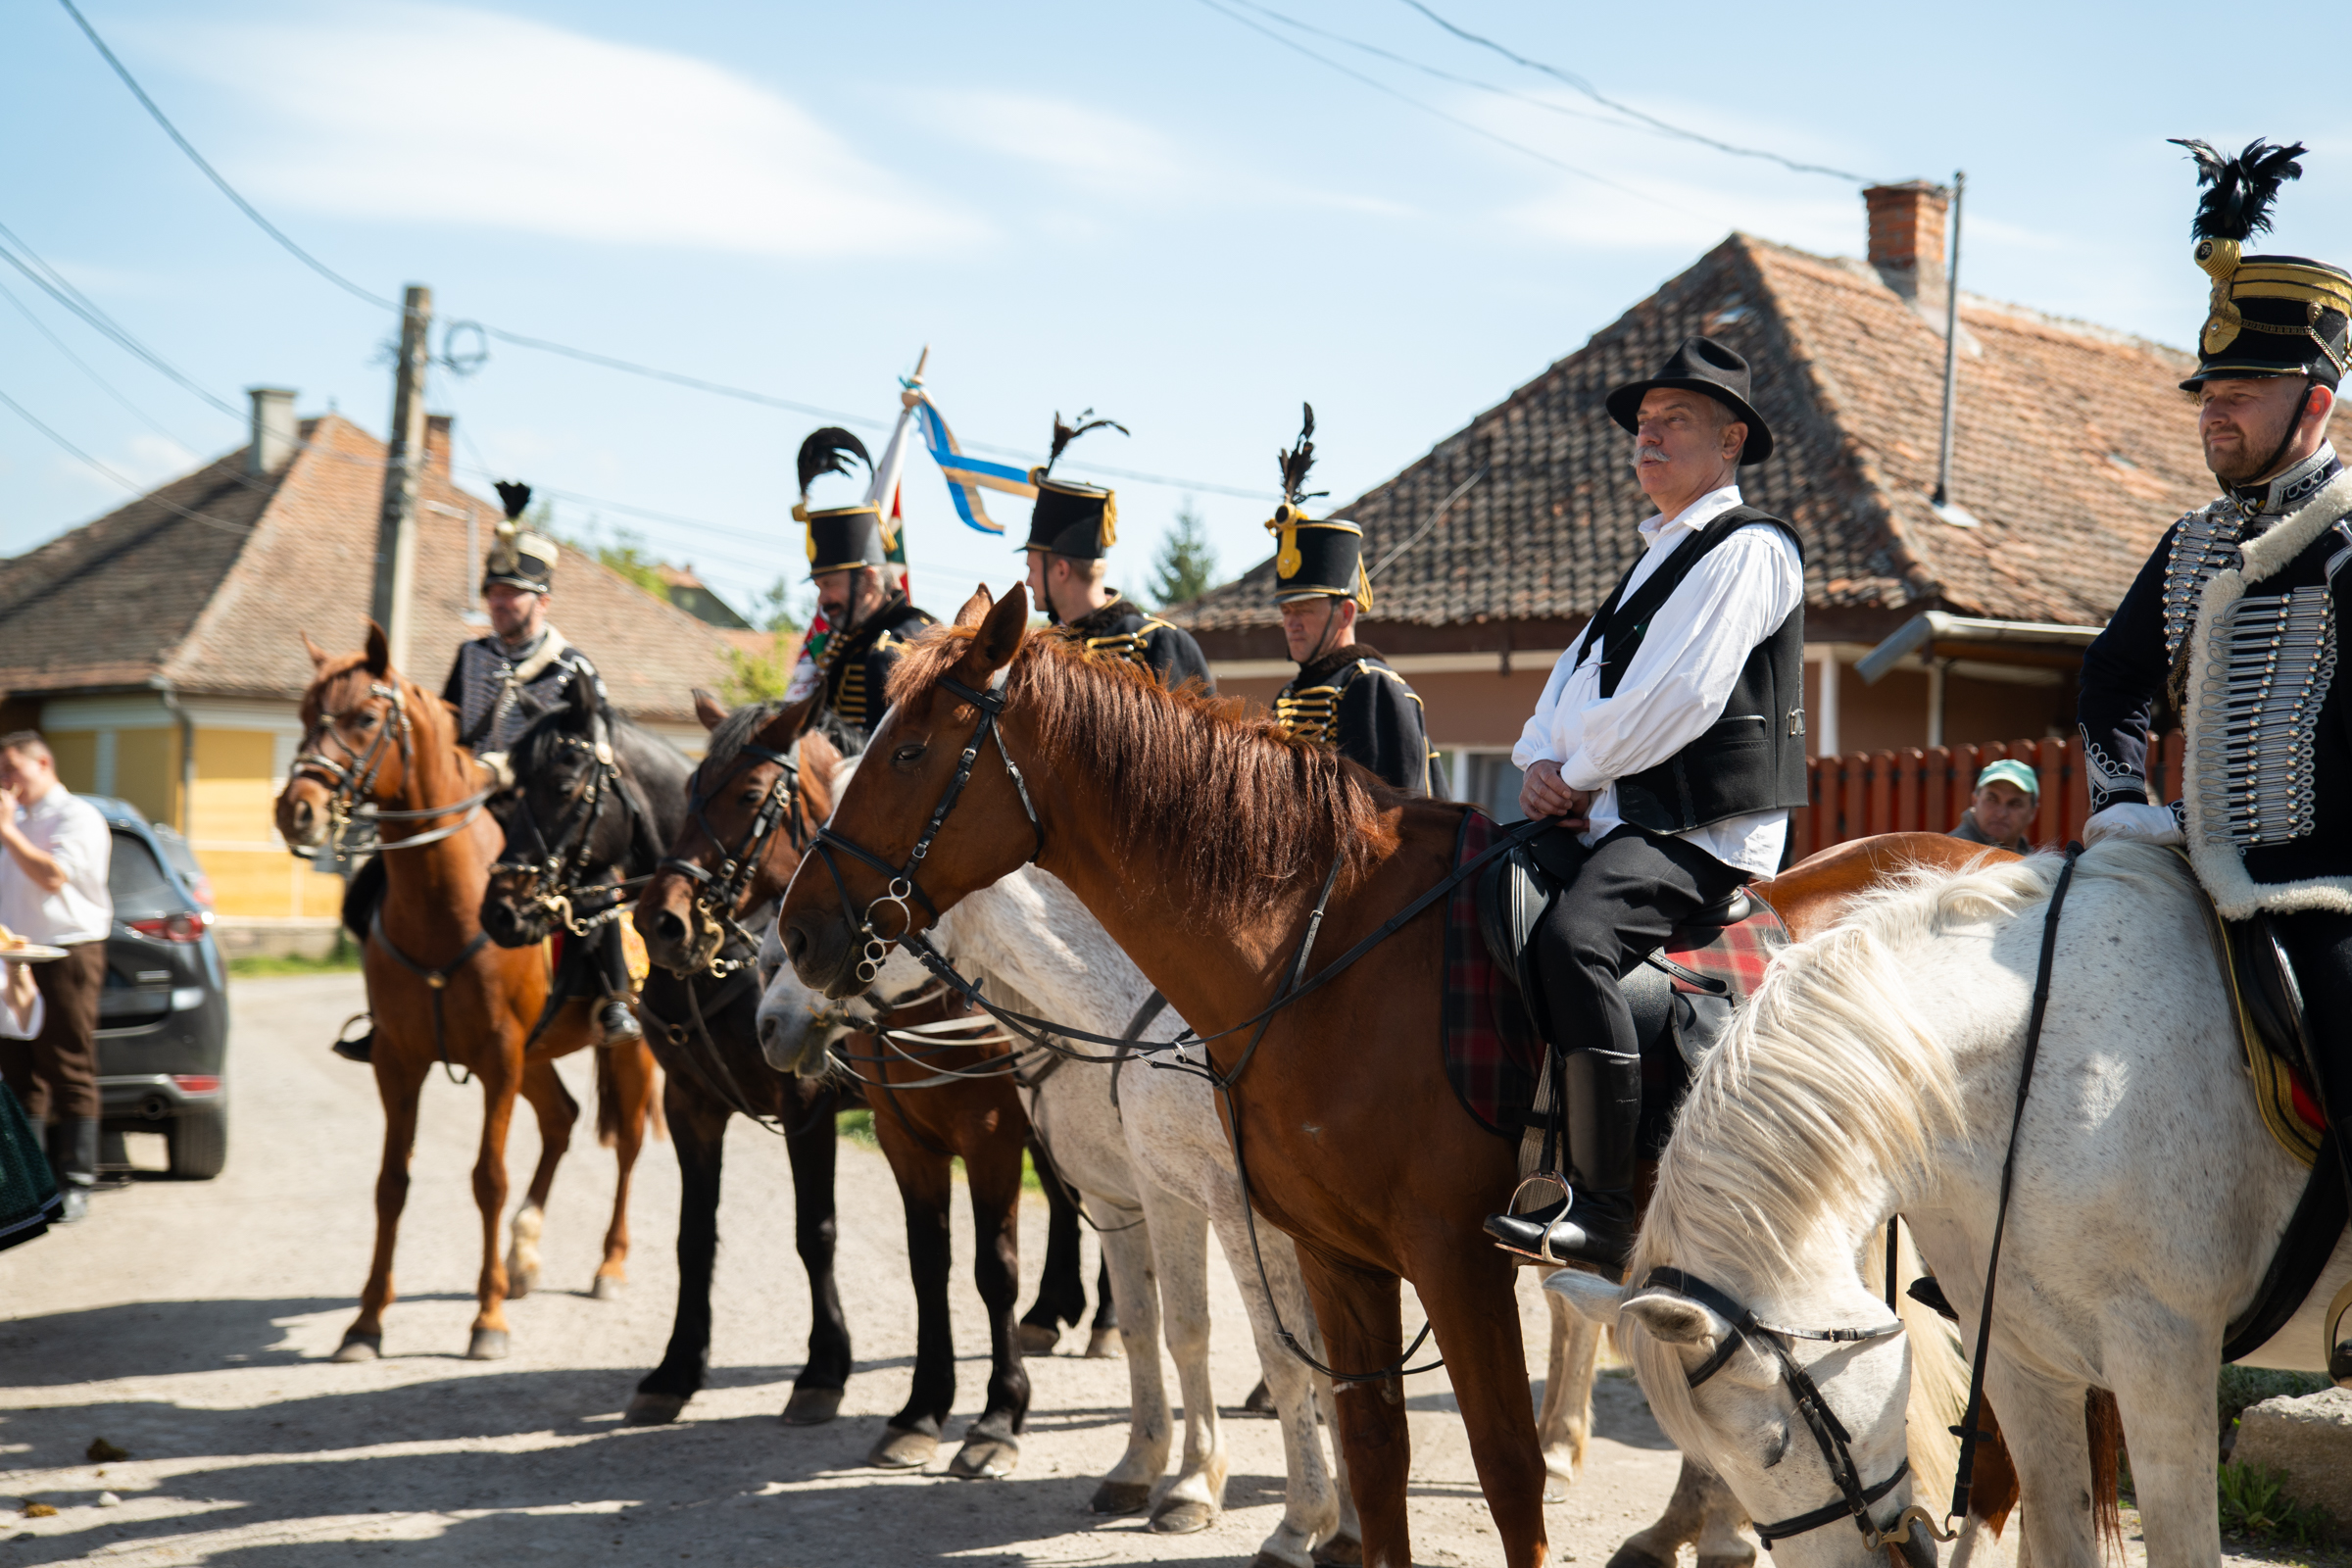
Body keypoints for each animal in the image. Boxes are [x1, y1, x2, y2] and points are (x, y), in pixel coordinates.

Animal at [276, 625, 662, 1363]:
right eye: (307, 716)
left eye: (363, 718)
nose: (295, 811)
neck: (442, 903)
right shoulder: (400, 1061)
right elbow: (390, 1184)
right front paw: (365, 1323)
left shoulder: (498, 1058)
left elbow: (489, 1179)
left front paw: (487, 1323)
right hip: (536, 1057)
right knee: (562, 1119)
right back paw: (524, 1258)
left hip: (626, 1050)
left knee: (627, 1142)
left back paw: (610, 1265)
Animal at [776, 587, 2041, 1568]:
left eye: (906, 751)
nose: (795, 938)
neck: (1319, 950)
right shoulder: (1330, 1252)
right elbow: (1369, 1449)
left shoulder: (1450, 1258)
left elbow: (1502, 1467)